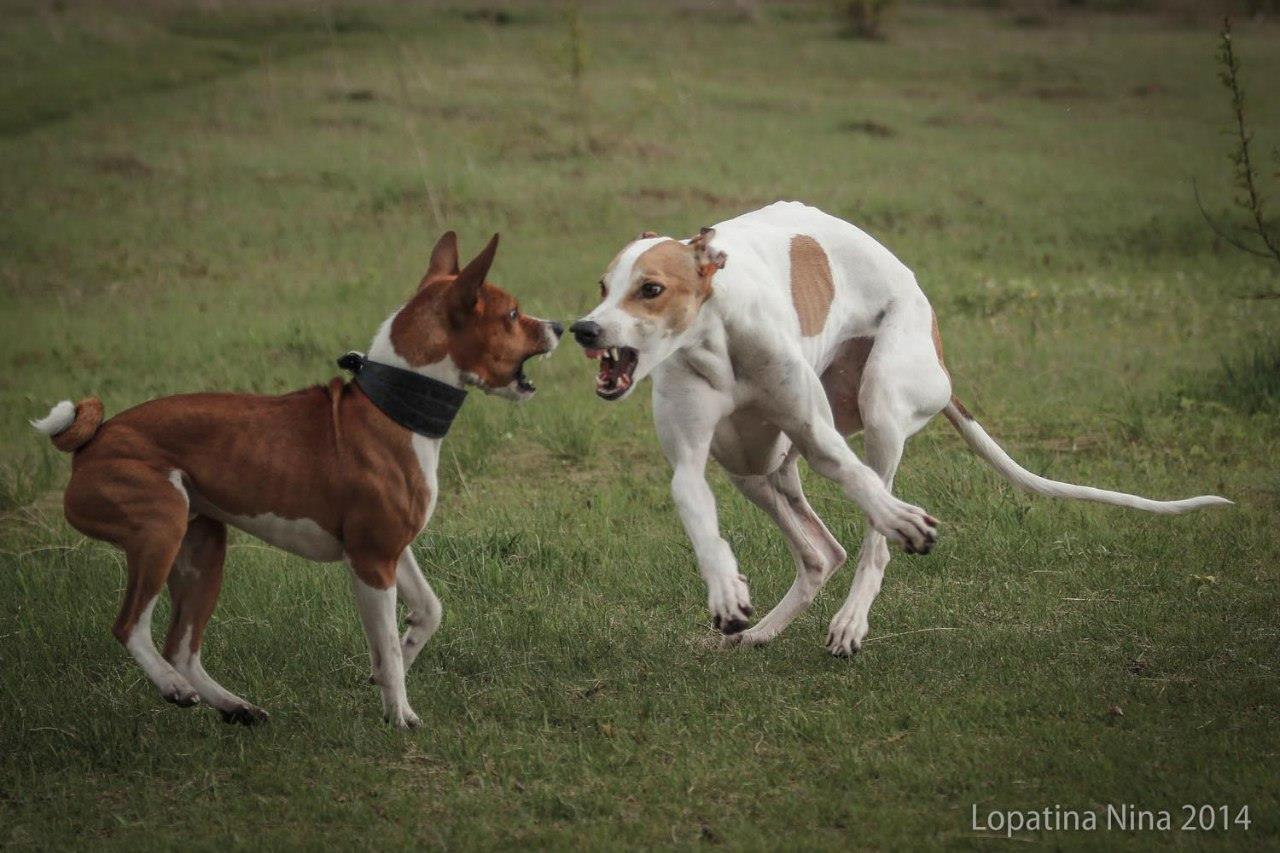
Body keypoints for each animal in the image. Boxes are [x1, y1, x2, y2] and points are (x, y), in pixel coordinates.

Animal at [28, 233, 560, 722]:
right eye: (513, 314)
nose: (557, 324)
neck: (392, 407)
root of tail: (93, 439)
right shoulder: (372, 560)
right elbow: (387, 646)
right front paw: (399, 713)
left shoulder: (391, 550)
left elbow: (428, 613)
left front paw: (396, 667)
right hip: (160, 526)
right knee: (131, 627)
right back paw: (173, 688)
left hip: (201, 547)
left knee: (182, 646)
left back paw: (233, 705)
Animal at [573, 202, 1228, 653]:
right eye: (603, 287)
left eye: (651, 289)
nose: (584, 329)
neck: (716, 337)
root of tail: (941, 360)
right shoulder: (693, 460)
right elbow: (697, 513)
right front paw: (726, 591)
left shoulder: (820, 435)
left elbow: (864, 490)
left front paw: (905, 522)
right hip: (758, 462)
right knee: (821, 550)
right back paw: (764, 629)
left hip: (879, 403)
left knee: (870, 533)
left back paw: (852, 617)